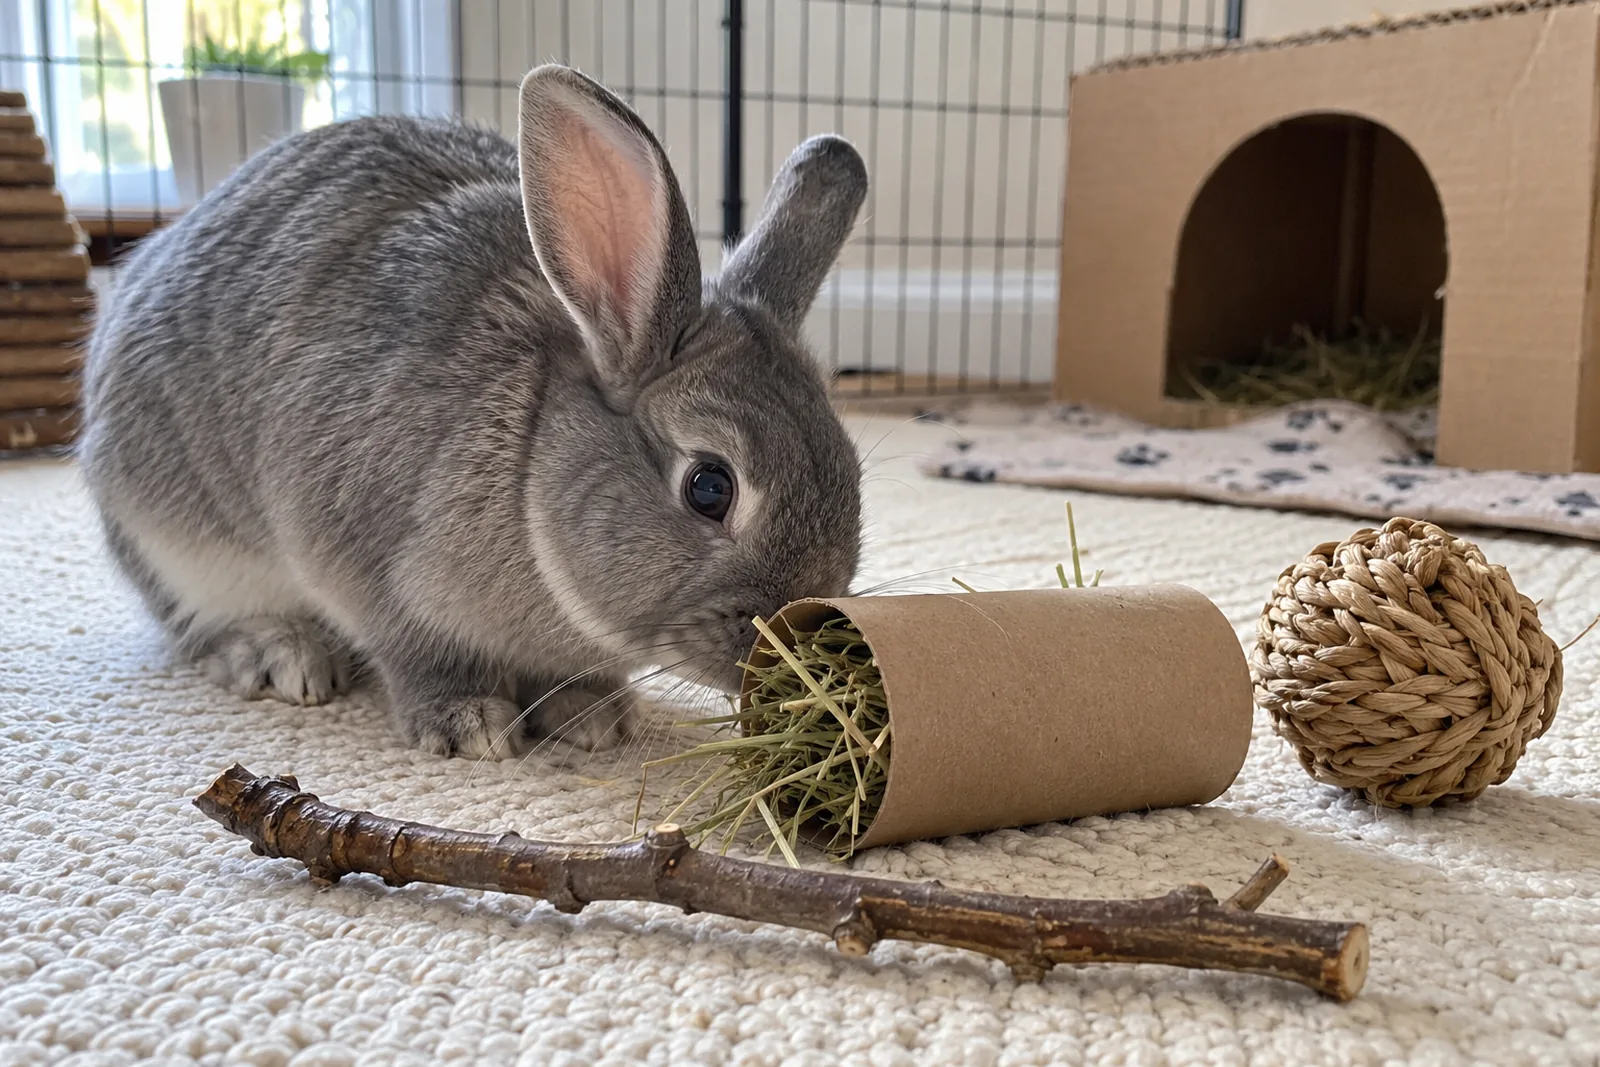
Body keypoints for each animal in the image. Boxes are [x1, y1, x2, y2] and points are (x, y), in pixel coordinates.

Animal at [77, 63, 868, 760]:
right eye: (709, 487)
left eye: (853, 475)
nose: (787, 647)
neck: (530, 465)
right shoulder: (368, 565)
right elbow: (417, 653)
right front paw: (469, 725)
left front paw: (595, 717)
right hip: (176, 543)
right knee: (197, 629)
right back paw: (283, 654)